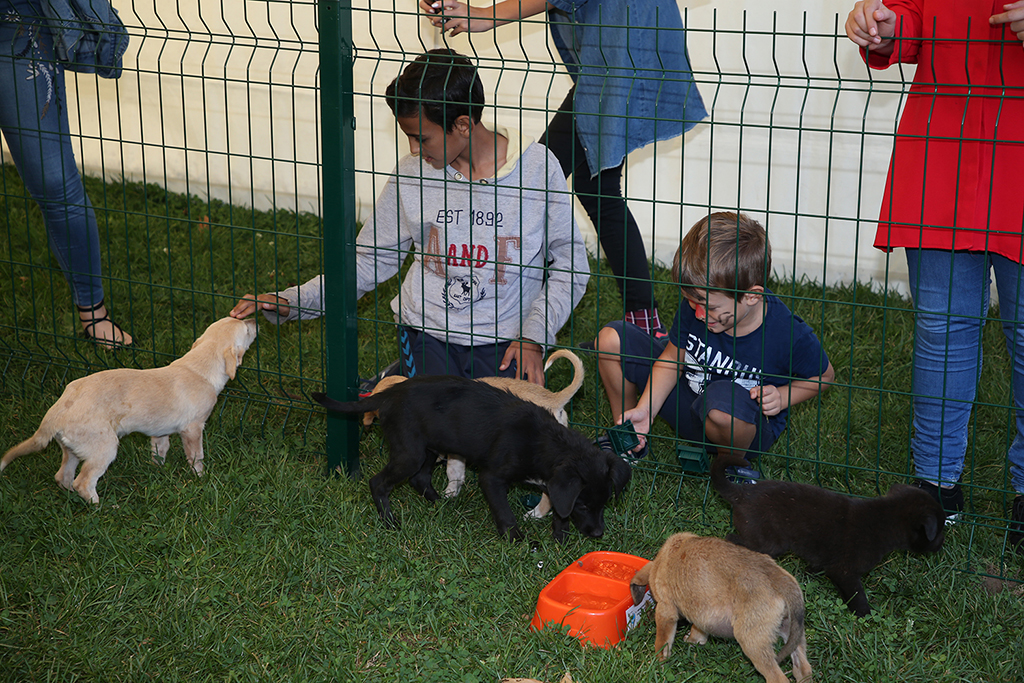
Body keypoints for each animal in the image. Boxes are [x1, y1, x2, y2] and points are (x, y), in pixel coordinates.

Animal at [2, 317, 258, 505]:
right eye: (246, 329)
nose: (254, 318)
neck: (198, 367)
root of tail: (58, 410)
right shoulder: (193, 429)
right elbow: (197, 457)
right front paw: (201, 477)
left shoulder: (160, 431)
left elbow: (159, 449)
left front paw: (157, 468)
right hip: (104, 447)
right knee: (83, 481)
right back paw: (99, 505)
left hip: (73, 448)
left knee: (63, 476)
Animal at [311, 376, 630, 540]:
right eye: (584, 504)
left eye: (603, 504)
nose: (598, 534)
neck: (543, 440)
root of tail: (387, 394)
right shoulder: (492, 478)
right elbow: (504, 512)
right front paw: (517, 540)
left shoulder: (550, 481)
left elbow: (559, 511)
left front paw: (559, 539)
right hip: (410, 452)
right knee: (379, 482)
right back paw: (390, 522)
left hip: (429, 447)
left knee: (419, 479)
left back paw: (439, 503)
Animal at [626, 532, 811, 683]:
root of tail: (781, 581)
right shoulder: (702, 612)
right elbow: (698, 630)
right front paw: (693, 640)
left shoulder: (666, 611)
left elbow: (662, 642)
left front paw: (658, 663)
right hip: (792, 632)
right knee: (803, 669)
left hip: (753, 641)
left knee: (777, 677)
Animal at [712, 450, 942, 618]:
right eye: (940, 531)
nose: (942, 545)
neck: (886, 519)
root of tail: (742, 494)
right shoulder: (845, 571)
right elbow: (858, 596)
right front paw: (865, 616)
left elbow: (817, 566)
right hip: (767, 542)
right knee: (733, 540)